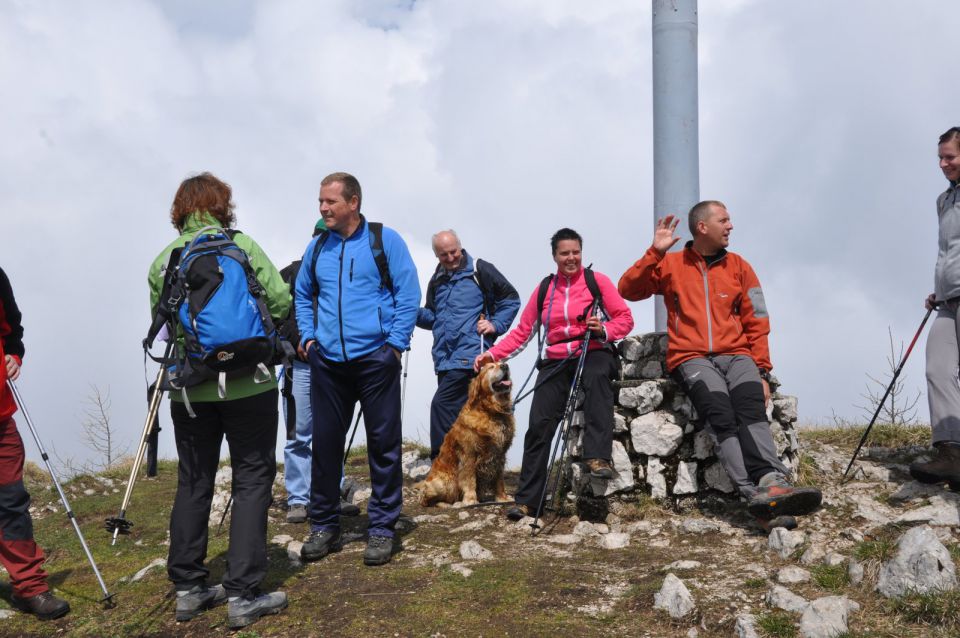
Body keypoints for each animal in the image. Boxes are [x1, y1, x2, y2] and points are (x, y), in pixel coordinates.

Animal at [414, 362, 512, 508]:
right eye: (490, 367)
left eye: (501, 363)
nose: (505, 365)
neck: (492, 412)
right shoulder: (469, 454)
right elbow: (469, 479)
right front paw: (470, 500)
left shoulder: (500, 454)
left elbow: (499, 479)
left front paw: (502, 498)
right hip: (446, 482)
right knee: (426, 498)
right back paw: (448, 504)